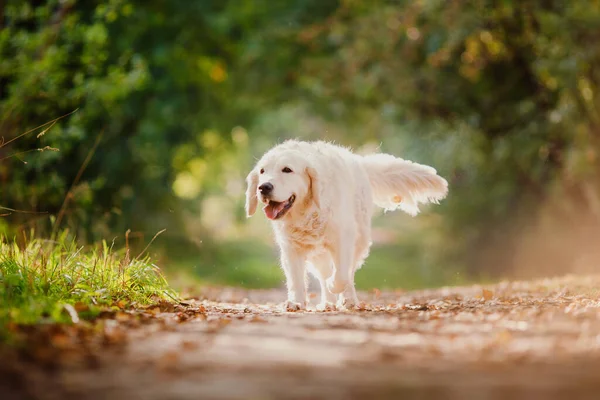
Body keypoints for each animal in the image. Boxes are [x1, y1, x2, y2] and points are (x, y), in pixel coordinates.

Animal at [243, 139, 446, 310]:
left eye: (287, 170)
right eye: (262, 171)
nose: (264, 187)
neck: (308, 212)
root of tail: (359, 162)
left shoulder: (343, 239)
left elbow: (341, 274)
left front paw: (335, 287)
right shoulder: (291, 247)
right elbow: (296, 279)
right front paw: (296, 302)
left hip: (360, 240)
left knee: (348, 273)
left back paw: (348, 300)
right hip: (319, 255)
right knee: (324, 274)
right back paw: (328, 303)